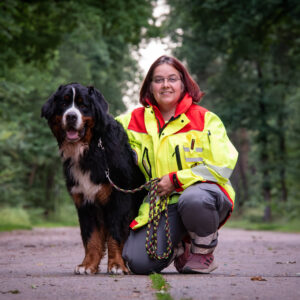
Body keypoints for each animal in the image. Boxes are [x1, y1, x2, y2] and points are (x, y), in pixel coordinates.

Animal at [41, 83, 145, 276]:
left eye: (83, 105)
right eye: (64, 104)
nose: (71, 116)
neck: (91, 149)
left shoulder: (119, 198)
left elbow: (115, 234)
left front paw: (117, 265)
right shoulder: (85, 201)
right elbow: (91, 238)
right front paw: (87, 265)